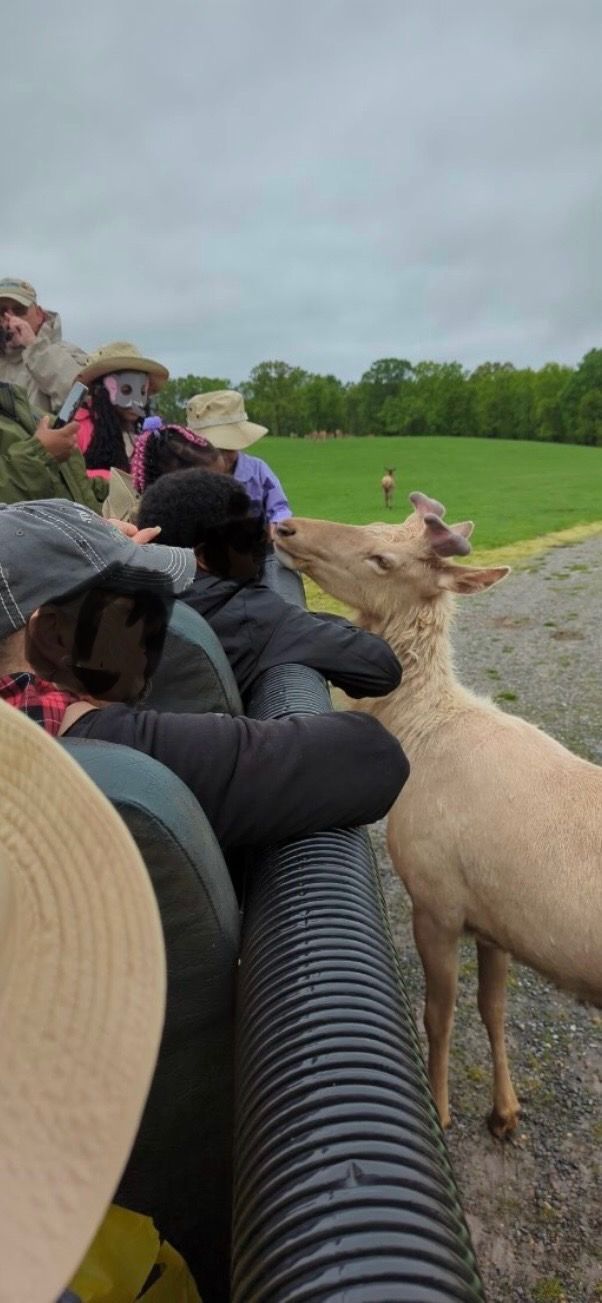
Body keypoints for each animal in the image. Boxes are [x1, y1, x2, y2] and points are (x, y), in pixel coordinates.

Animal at [274, 492, 602, 1138]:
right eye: (374, 522)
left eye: (382, 558)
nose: (285, 525)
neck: (420, 740)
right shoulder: (496, 919)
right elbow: (492, 1008)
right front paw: (505, 1112)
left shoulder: (437, 895)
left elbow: (439, 1014)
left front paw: (444, 1111)